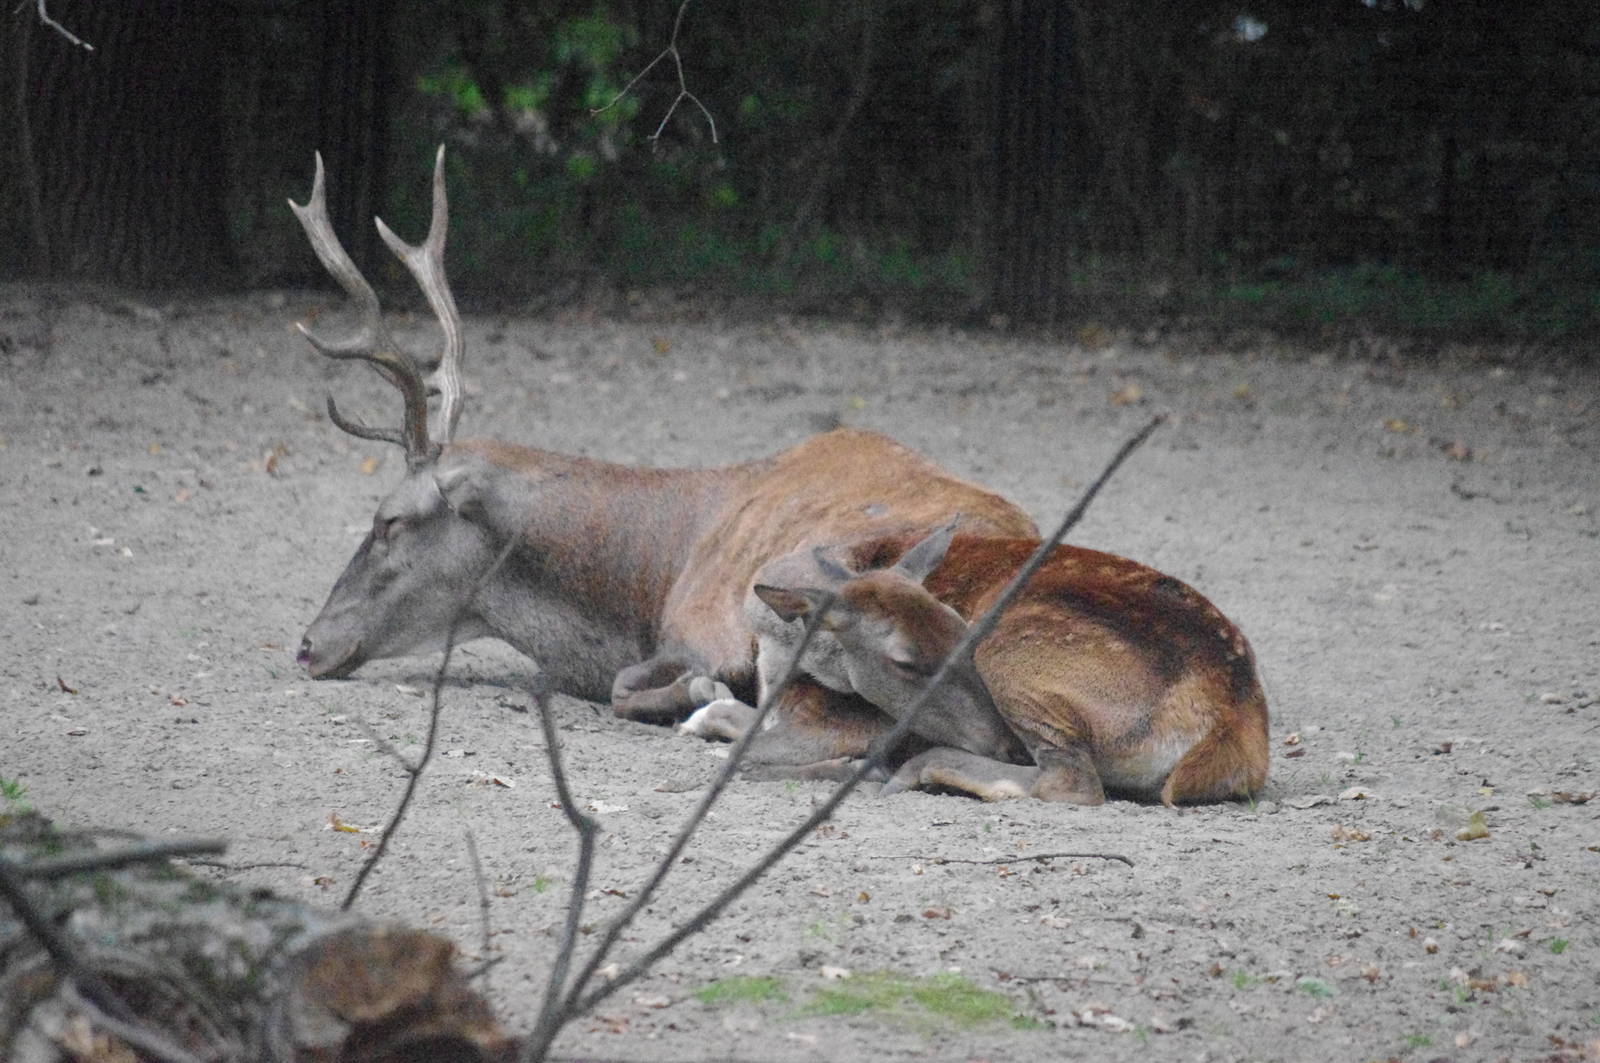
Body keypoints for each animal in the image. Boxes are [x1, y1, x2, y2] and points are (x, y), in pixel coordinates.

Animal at [285, 148, 1039, 766]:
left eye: (388, 520)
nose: (308, 644)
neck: (649, 583)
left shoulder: (707, 630)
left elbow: (638, 688)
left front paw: (699, 698)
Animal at [683, 522, 1270, 804]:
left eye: (961, 629)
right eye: (905, 660)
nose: (1002, 742)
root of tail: (1233, 722)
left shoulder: (852, 719)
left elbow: (746, 754)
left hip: (1014, 652)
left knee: (1070, 782)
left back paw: (920, 768)